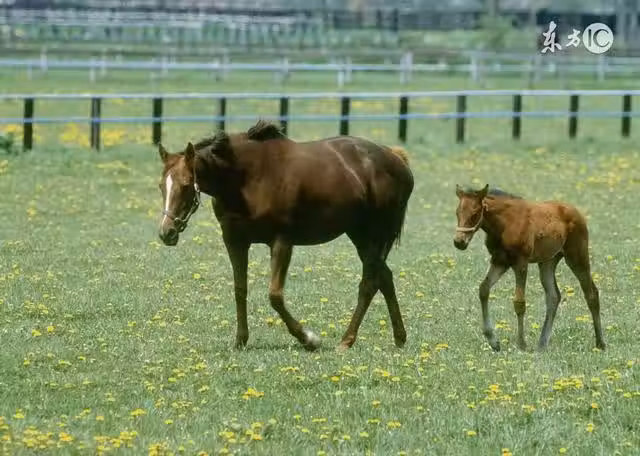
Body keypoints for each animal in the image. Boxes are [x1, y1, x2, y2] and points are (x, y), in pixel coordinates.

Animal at [156, 121, 414, 351]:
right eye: (161, 186)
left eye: (187, 184)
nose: (166, 232)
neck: (247, 179)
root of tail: (396, 158)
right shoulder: (234, 241)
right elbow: (240, 289)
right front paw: (241, 340)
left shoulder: (282, 242)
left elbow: (275, 295)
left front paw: (309, 339)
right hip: (361, 236)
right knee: (384, 278)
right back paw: (399, 337)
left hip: (375, 236)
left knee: (370, 282)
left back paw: (346, 341)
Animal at [453, 184, 605, 352]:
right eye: (457, 212)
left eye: (474, 214)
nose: (459, 242)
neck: (505, 224)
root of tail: (576, 212)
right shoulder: (500, 261)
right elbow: (483, 289)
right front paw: (493, 341)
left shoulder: (521, 263)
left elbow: (519, 302)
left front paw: (521, 344)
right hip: (548, 261)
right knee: (553, 296)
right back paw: (542, 344)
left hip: (577, 257)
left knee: (591, 293)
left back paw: (600, 344)